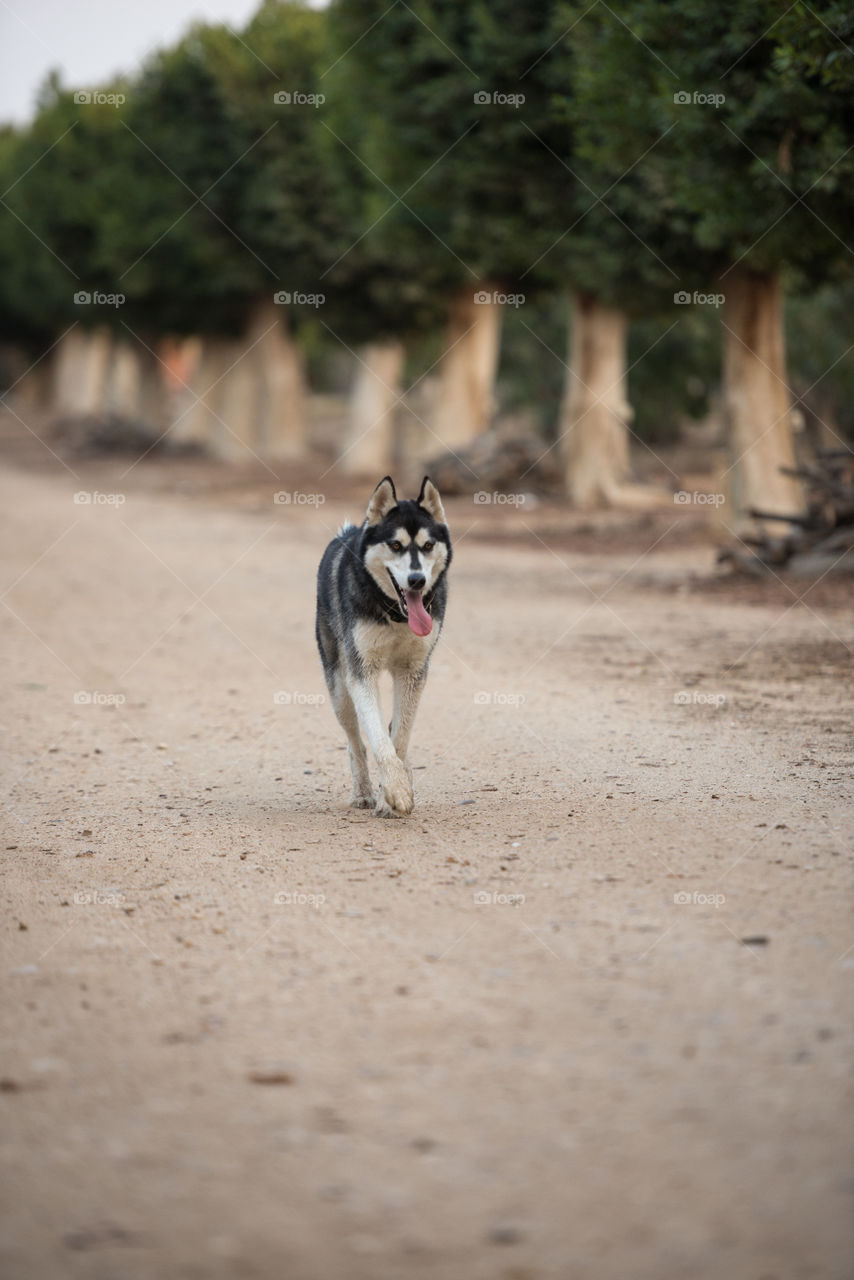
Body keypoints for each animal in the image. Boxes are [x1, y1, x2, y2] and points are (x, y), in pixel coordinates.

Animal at [317, 476, 453, 814]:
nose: (417, 580)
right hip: (338, 688)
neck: (395, 616)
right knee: (355, 740)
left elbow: (398, 735)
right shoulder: (361, 672)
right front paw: (395, 790)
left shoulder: (414, 671)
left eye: (428, 546)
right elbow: (378, 738)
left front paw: (393, 792)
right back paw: (363, 791)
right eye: (395, 545)